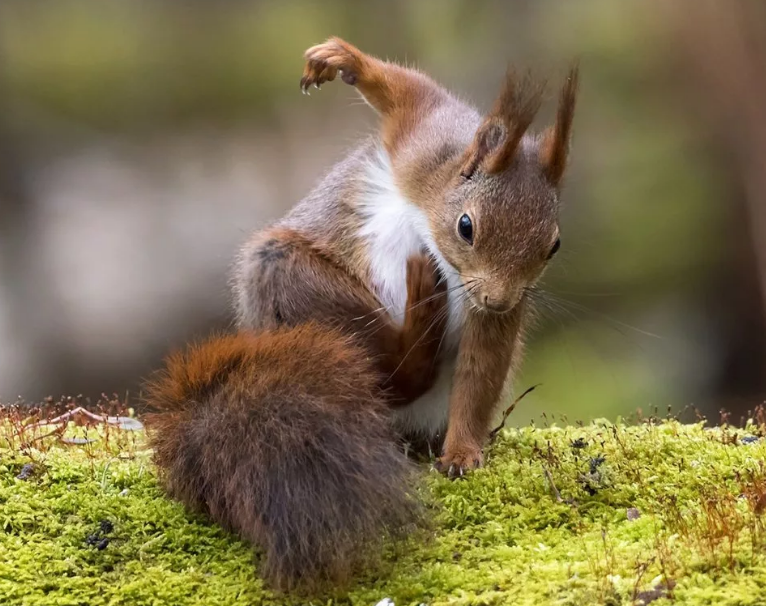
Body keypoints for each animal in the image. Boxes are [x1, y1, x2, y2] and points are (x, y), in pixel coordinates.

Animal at [144, 36, 580, 592]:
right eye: (466, 226)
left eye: (553, 245)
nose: (500, 299)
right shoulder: (423, 140)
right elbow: (407, 91)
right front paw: (342, 60)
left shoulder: (492, 312)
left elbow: (480, 373)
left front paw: (462, 453)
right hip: (289, 277)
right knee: (392, 371)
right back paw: (418, 318)